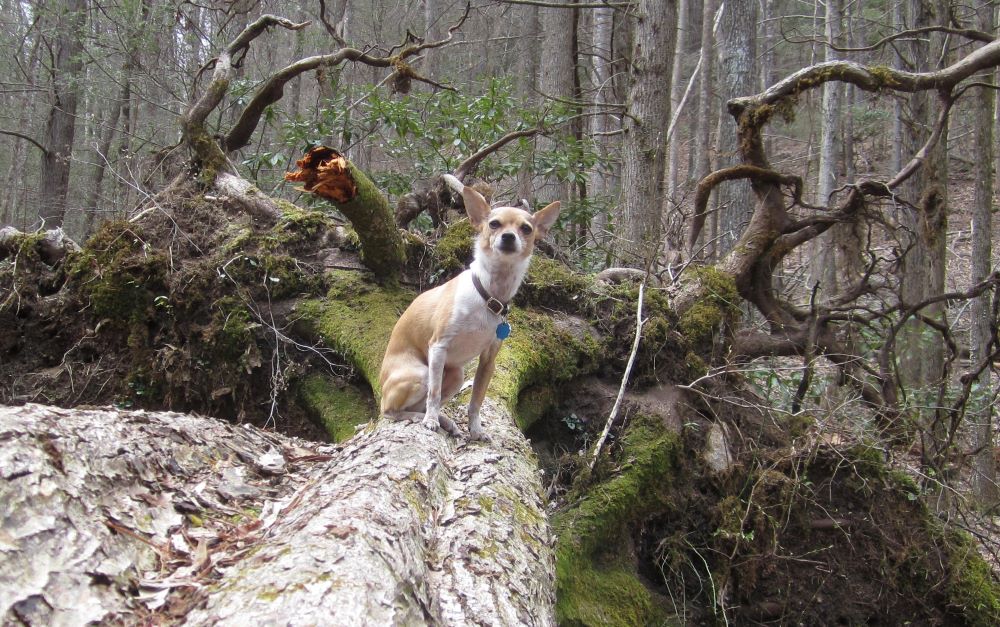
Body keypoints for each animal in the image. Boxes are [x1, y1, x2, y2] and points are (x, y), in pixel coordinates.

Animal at [376, 177, 564, 442]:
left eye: (526, 228)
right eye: (494, 224)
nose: (508, 236)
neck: (489, 295)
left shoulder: (488, 361)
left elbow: (476, 401)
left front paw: (475, 430)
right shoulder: (438, 347)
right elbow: (434, 394)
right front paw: (431, 421)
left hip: (456, 376)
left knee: (419, 403)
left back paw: (444, 421)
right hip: (422, 373)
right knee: (391, 410)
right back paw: (421, 418)